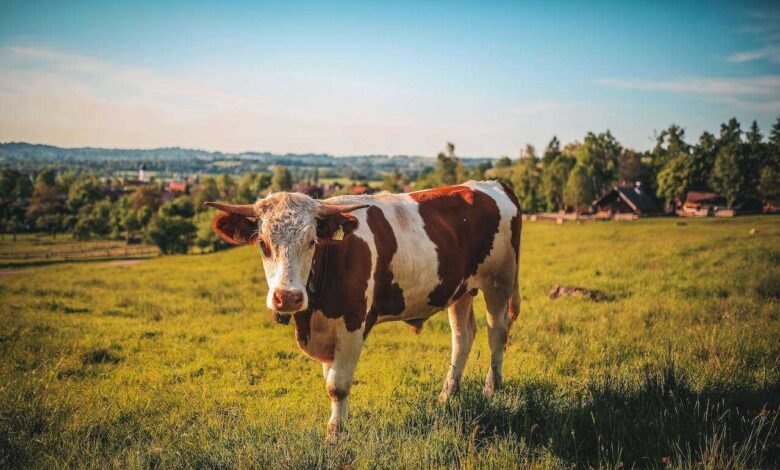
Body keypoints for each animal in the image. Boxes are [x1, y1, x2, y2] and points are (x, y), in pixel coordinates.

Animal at [207, 181, 520, 440]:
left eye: (312, 241)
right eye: (263, 243)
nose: (288, 297)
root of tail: (491, 184)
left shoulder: (352, 325)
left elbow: (337, 385)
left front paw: (335, 433)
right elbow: (330, 378)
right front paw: (338, 423)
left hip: (499, 281)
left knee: (497, 332)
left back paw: (491, 389)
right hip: (461, 290)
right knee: (462, 336)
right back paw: (447, 394)